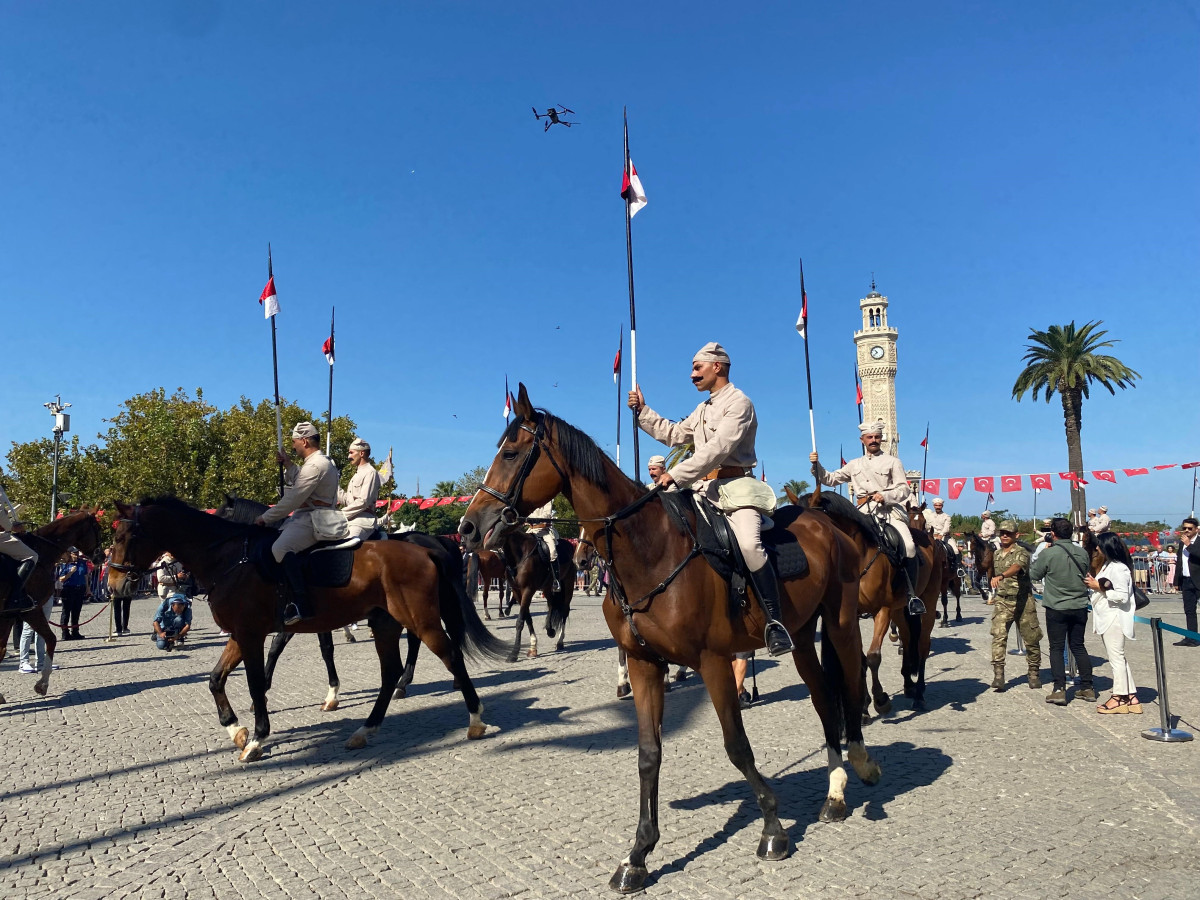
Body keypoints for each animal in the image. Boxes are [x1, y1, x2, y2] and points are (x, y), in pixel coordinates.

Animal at [0, 511, 104, 710]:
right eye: (97, 528)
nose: (101, 557)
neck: (42, 553)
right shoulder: (31, 610)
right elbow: (52, 639)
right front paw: (42, 684)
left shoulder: (9, 615)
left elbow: (1, 651)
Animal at [108, 496, 506, 763]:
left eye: (125, 536)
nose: (115, 584)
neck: (232, 557)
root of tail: (425, 549)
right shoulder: (242, 634)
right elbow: (215, 679)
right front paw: (235, 730)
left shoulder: (252, 634)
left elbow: (255, 684)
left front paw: (257, 738)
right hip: (386, 624)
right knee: (392, 670)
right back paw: (366, 728)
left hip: (420, 619)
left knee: (450, 655)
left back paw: (475, 719)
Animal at [453, 388, 878, 897]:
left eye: (512, 453)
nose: (468, 527)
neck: (648, 547)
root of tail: (823, 521)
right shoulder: (644, 663)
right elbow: (648, 753)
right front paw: (638, 854)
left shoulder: (713, 661)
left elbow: (737, 746)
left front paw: (773, 829)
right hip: (798, 638)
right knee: (822, 698)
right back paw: (834, 790)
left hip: (839, 624)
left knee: (850, 683)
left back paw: (861, 765)